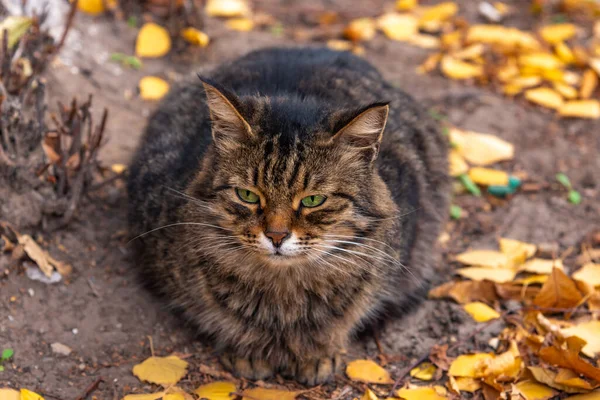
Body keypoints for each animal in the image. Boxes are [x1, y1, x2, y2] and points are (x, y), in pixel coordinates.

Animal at [127, 47, 450, 384]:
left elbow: (339, 323)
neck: (283, 295)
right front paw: (249, 352)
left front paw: (317, 356)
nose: (276, 235)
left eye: (313, 200)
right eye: (248, 195)